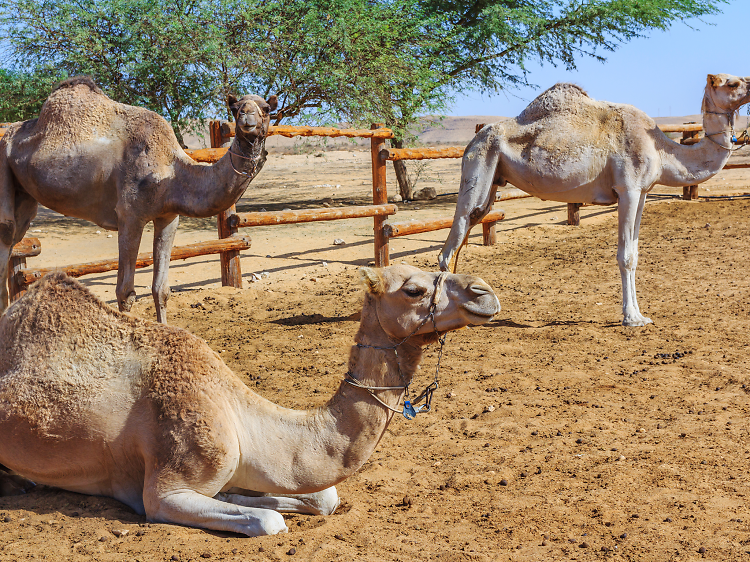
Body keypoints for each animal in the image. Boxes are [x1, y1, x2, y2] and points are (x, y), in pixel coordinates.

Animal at [0, 75, 276, 322]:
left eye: (266, 109)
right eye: (236, 108)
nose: (247, 119)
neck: (173, 171)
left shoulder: (169, 216)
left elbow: (161, 289)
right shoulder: (130, 216)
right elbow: (125, 292)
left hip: (24, 195)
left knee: (15, 237)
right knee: (6, 232)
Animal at [0, 264, 500, 536]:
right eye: (413, 289)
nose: (484, 292)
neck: (237, 410)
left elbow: (323, 498)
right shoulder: (165, 489)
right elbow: (268, 522)